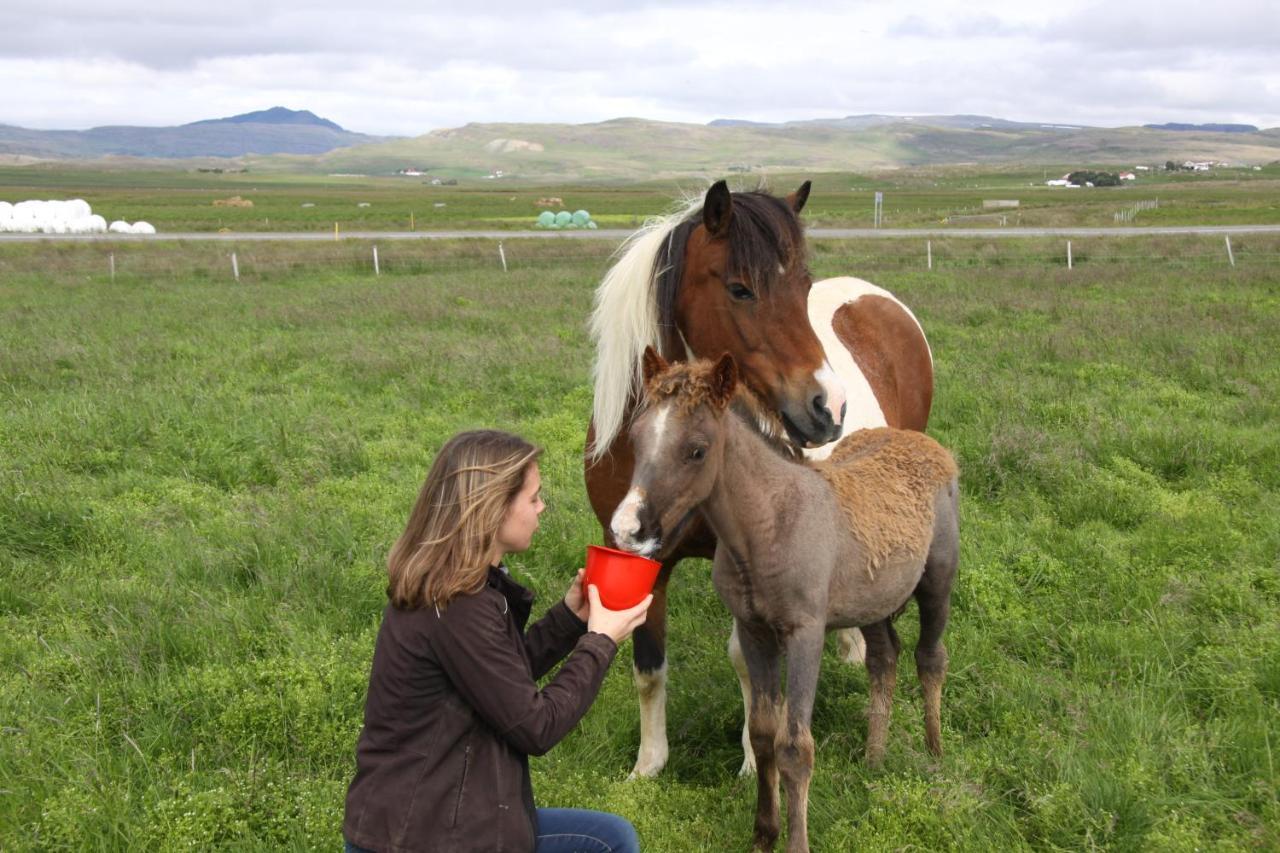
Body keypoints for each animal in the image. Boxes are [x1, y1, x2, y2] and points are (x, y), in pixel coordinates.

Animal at [586, 180, 936, 778]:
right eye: (739, 289)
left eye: (803, 287)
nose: (828, 408)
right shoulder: (640, 555)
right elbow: (648, 665)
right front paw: (647, 765)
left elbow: (748, 664)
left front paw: (755, 760)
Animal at [611, 348, 962, 850]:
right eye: (637, 439)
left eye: (697, 449)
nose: (627, 530)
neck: (769, 524)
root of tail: (923, 443)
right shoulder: (755, 631)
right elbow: (762, 735)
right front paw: (763, 834)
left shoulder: (804, 634)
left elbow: (794, 746)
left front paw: (795, 842)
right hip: (872, 601)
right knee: (884, 658)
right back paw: (874, 759)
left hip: (937, 582)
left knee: (930, 657)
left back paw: (934, 755)